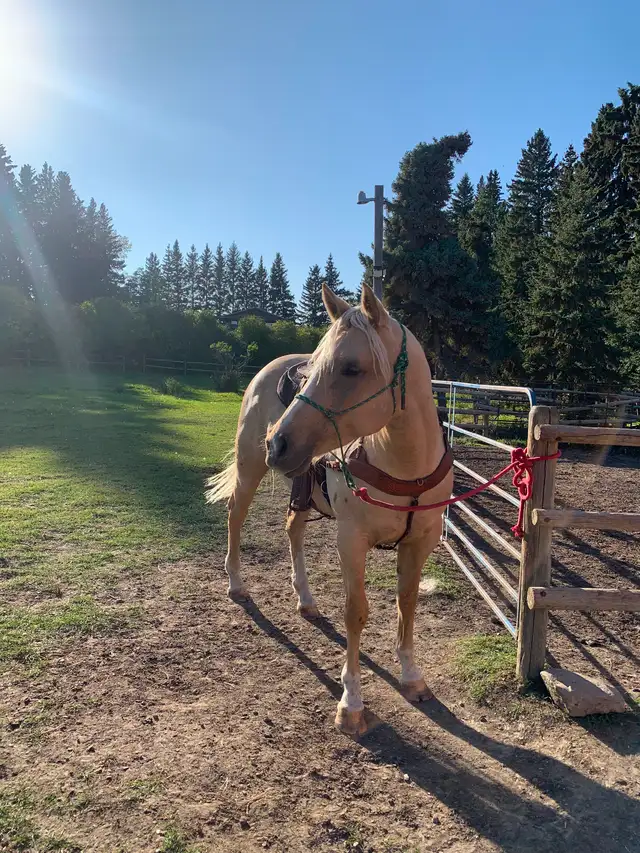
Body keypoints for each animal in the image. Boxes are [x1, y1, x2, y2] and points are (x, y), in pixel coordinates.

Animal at [206, 284, 453, 736]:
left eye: (351, 368)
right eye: (312, 371)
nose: (277, 442)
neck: (404, 466)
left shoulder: (420, 543)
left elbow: (406, 603)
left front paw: (411, 677)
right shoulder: (351, 541)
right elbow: (356, 613)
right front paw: (351, 702)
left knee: (293, 528)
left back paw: (305, 599)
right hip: (250, 470)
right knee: (235, 516)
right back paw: (236, 583)